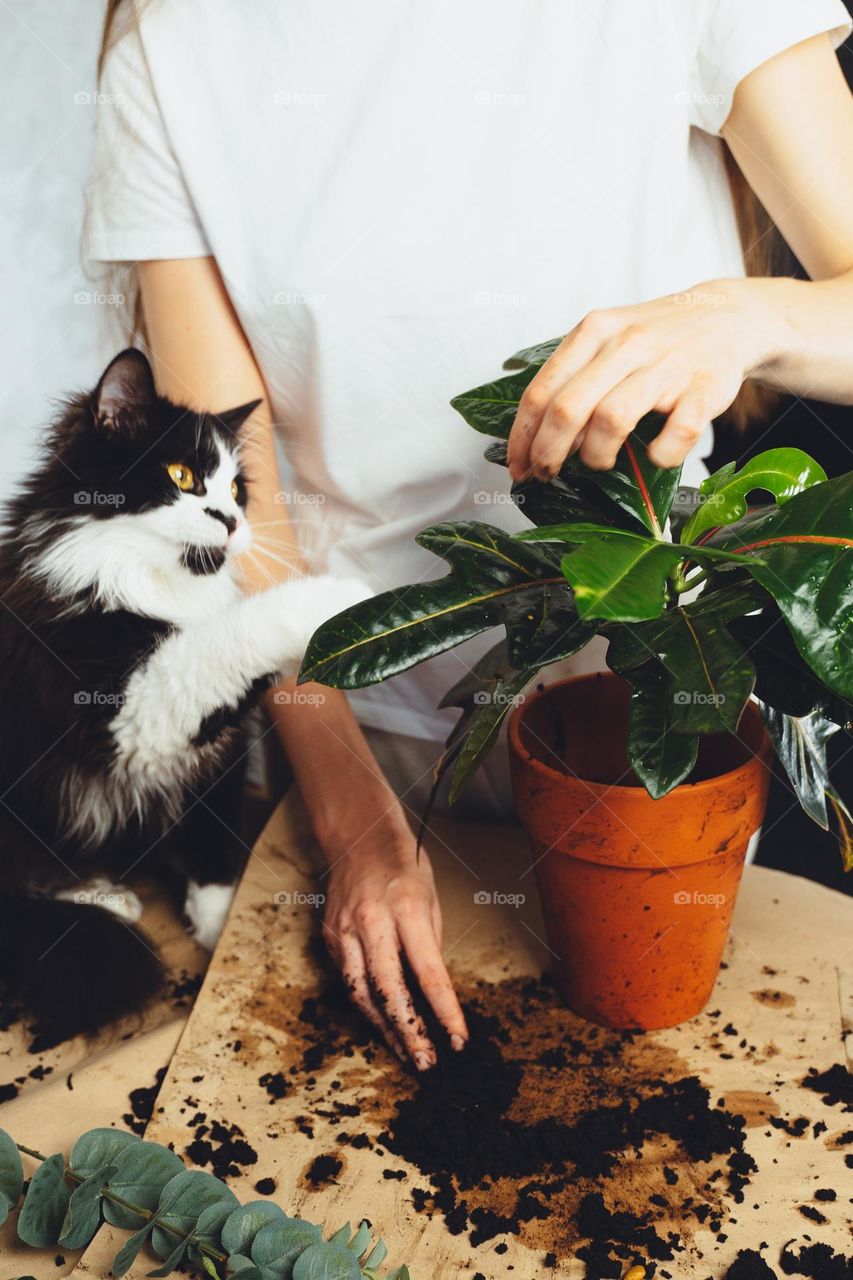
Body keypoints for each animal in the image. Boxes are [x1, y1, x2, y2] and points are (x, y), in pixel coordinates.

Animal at [0, 353, 363, 1049]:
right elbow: (241, 629)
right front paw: (341, 597)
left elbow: (213, 835)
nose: (233, 521)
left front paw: (218, 926)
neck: (156, 586)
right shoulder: (128, 708)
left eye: (237, 491)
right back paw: (106, 896)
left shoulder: (219, 746)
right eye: (182, 476)